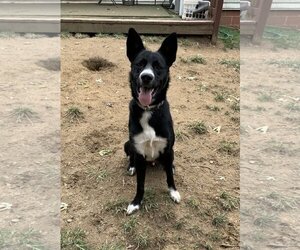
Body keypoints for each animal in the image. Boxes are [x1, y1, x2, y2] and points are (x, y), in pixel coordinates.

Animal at [124, 27, 180, 215]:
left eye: (158, 66)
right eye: (139, 64)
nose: (146, 77)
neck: (149, 111)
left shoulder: (168, 149)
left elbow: (170, 176)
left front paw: (173, 191)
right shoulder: (140, 152)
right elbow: (140, 185)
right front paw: (136, 202)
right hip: (127, 144)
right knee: (131, 157)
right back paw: (131, 167)